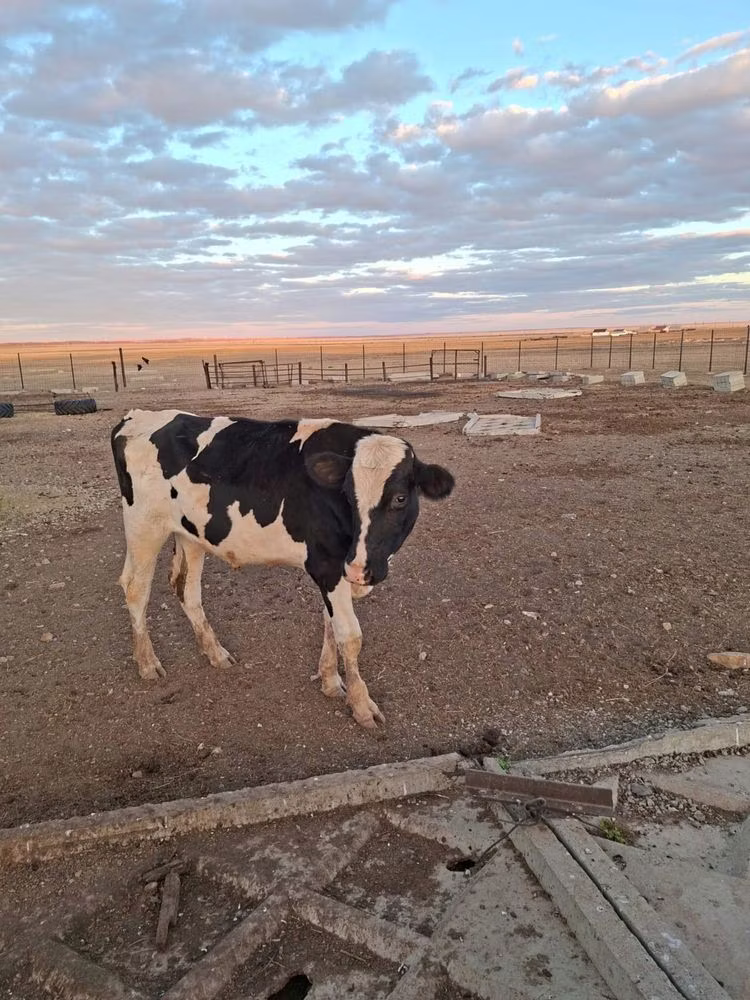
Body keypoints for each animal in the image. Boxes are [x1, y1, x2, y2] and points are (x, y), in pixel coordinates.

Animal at [111, 410, 454, 732]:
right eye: (348, 496)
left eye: (400, 498)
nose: (359, 569)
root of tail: (137, 416)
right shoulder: (328, 565)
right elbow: (349, 635)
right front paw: (361, 705)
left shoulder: (336, 571)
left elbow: (330, 625)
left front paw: (330, 682)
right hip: (144, 526)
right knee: (135, 589)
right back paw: (147, 663)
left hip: (191, 534)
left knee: (187, 590)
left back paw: (216, 653)